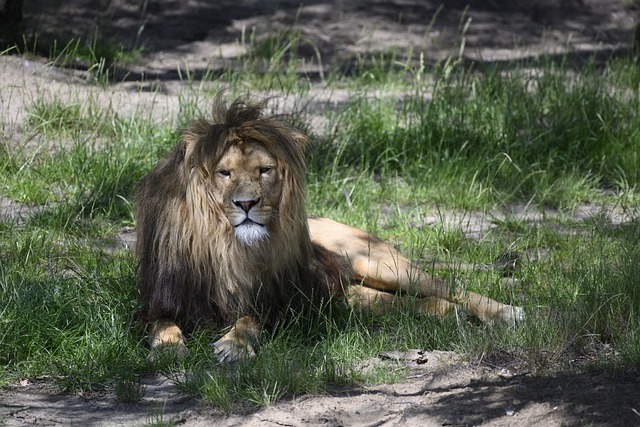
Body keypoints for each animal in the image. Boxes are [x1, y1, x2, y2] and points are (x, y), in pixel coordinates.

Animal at [136, 95, 524, 362]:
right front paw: (168, 348)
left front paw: (234, 345)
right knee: (408, 303)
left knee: (452, 288)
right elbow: (162, 324)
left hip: (378, 263)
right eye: (225, 173)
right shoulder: (160, 300)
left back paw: (505, 312)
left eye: (264, 171)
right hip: (351, 296)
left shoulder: (273, 300)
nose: (246, 204)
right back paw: (447, 314)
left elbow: (249, 319)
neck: (224, 246)